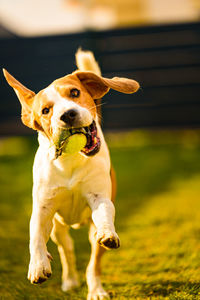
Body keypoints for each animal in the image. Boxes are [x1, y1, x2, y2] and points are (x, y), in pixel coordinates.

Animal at [3, 50, 140, 298]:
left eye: (74, 93)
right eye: (45, 111)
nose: (67, 114)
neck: (71, 161)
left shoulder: (99, 198)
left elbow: (104, 216)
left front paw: (108, 232)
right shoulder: (43, 208)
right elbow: (35, 236)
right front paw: (37, 265)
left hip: (90, 232)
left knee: (93, 260)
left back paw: (95, 289)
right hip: (58, 229)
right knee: (66, 248)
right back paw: (69, 280)